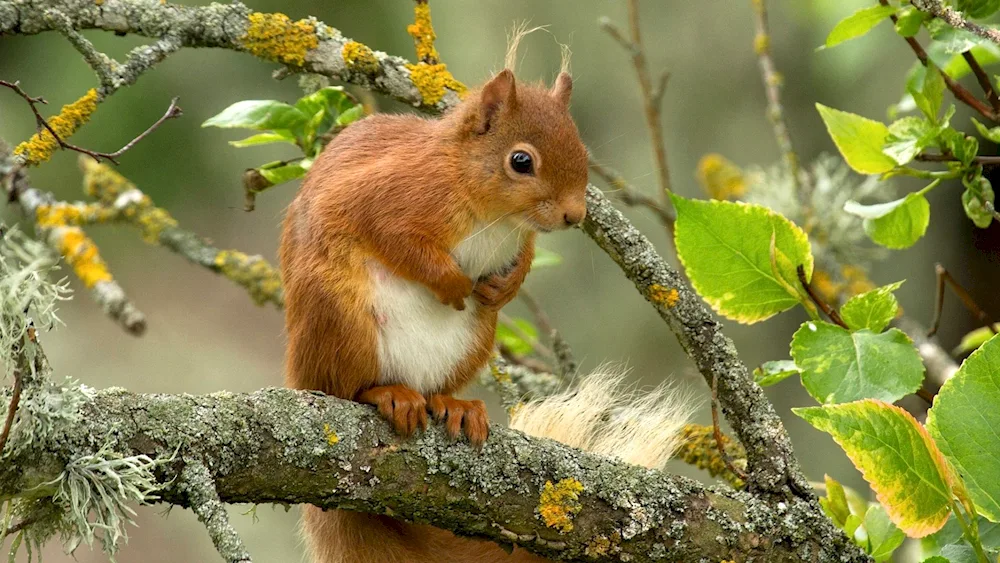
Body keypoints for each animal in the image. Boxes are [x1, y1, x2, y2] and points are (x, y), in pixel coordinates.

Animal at [278, 65, 588, 560]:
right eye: (521, 161)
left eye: (583, 149)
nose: (575, 215)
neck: (495, 215)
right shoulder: (389, 195)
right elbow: (399, 241)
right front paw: (453, 283)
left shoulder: (519, 239)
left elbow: (523, 258)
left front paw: (505, 285)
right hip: (339, 318)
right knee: (343, 388)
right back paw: (385, 394)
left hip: (473, 342)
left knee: (436, 389)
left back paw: (454, 405)